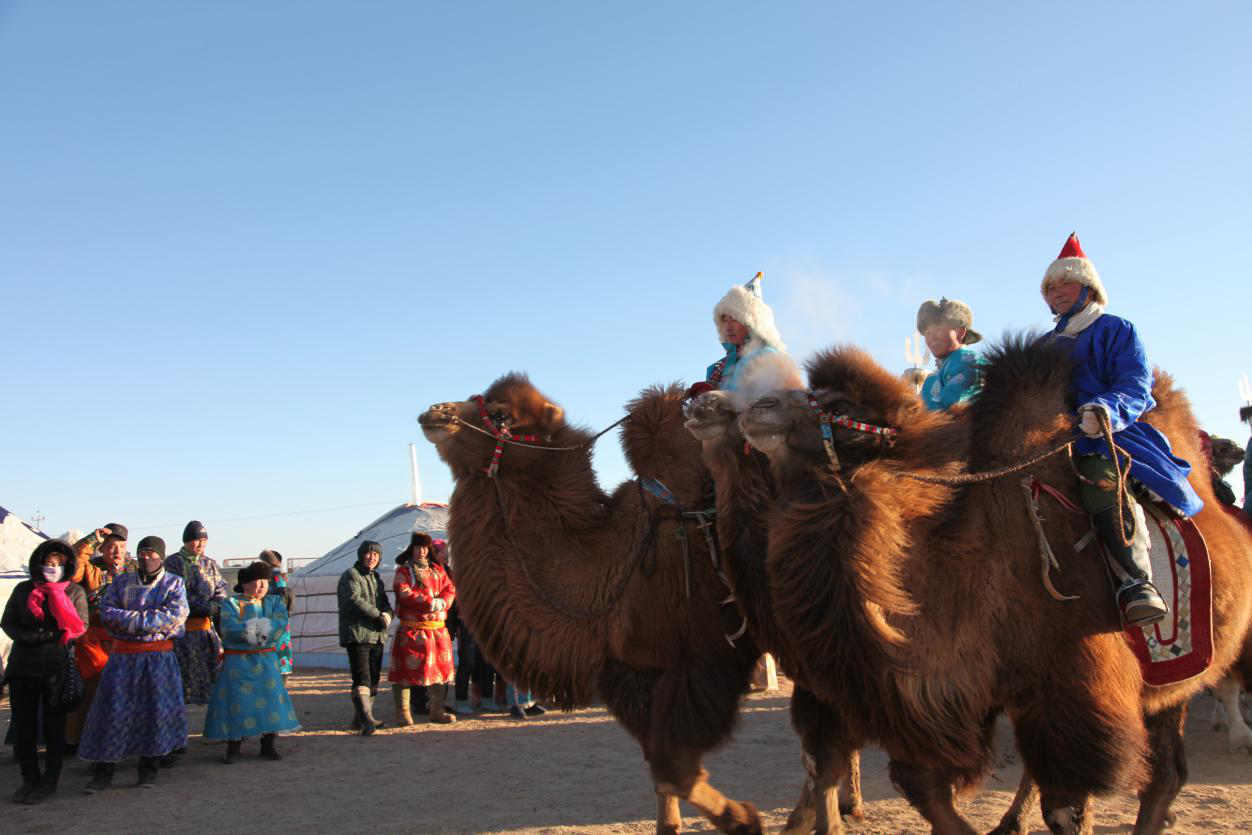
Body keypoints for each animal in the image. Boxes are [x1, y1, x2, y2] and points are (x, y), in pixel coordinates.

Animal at [419, 375, 764, 835]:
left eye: (501, 413)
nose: (435, 411)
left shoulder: (705, 656)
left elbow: (675, 767)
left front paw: (745, 819)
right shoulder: (635, 670)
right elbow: (663, 772)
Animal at [736, 337, 1252, 834]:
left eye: (843, 407)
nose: (758, 406)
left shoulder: (1076, 691)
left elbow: (1065, 809)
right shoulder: (957, 695)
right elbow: (922, 786)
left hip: (1174, 676)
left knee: (1163, 772)